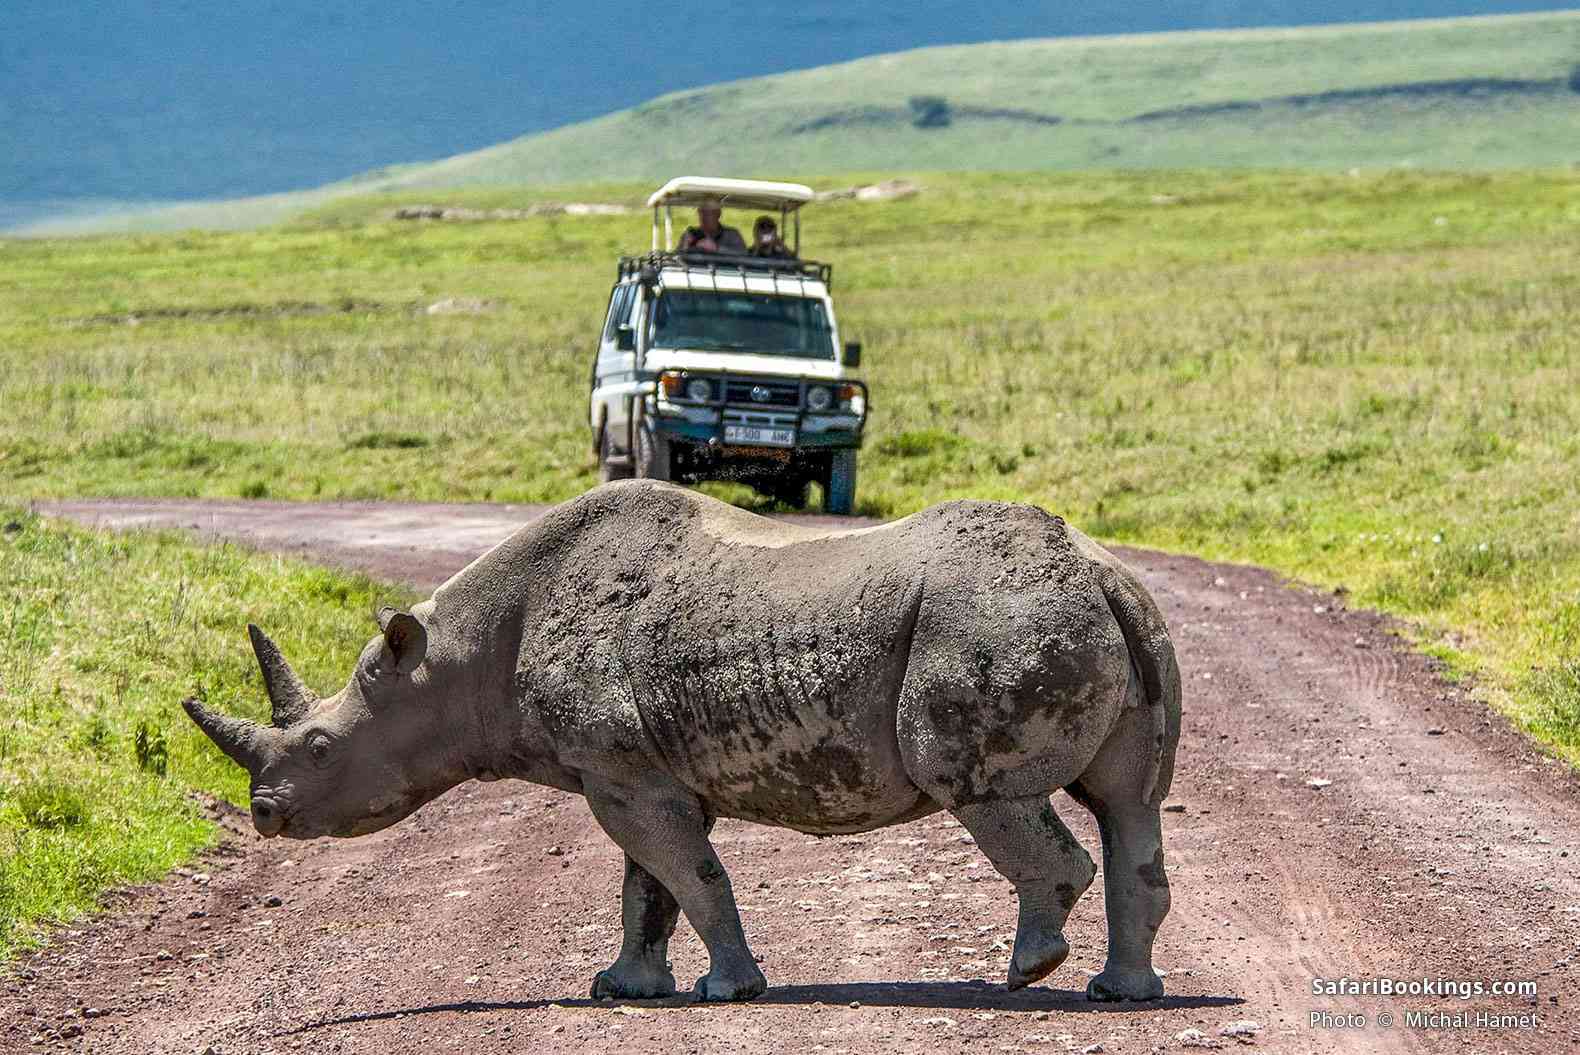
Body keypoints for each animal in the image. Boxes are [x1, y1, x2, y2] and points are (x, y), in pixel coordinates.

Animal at [184, 480, 1181, 1003]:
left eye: (320, 747)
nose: (263, 811)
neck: (456, 661)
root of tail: (1104, 574)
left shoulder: (622, 771)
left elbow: (691, 877)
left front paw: (727, 991)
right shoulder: (630, 767)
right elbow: (647, 889)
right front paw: (622, 987)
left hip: (991, 620)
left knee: (984, 792)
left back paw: (1024, 974)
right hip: (1109, 618)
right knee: (1129, 806)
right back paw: (1119, 992)